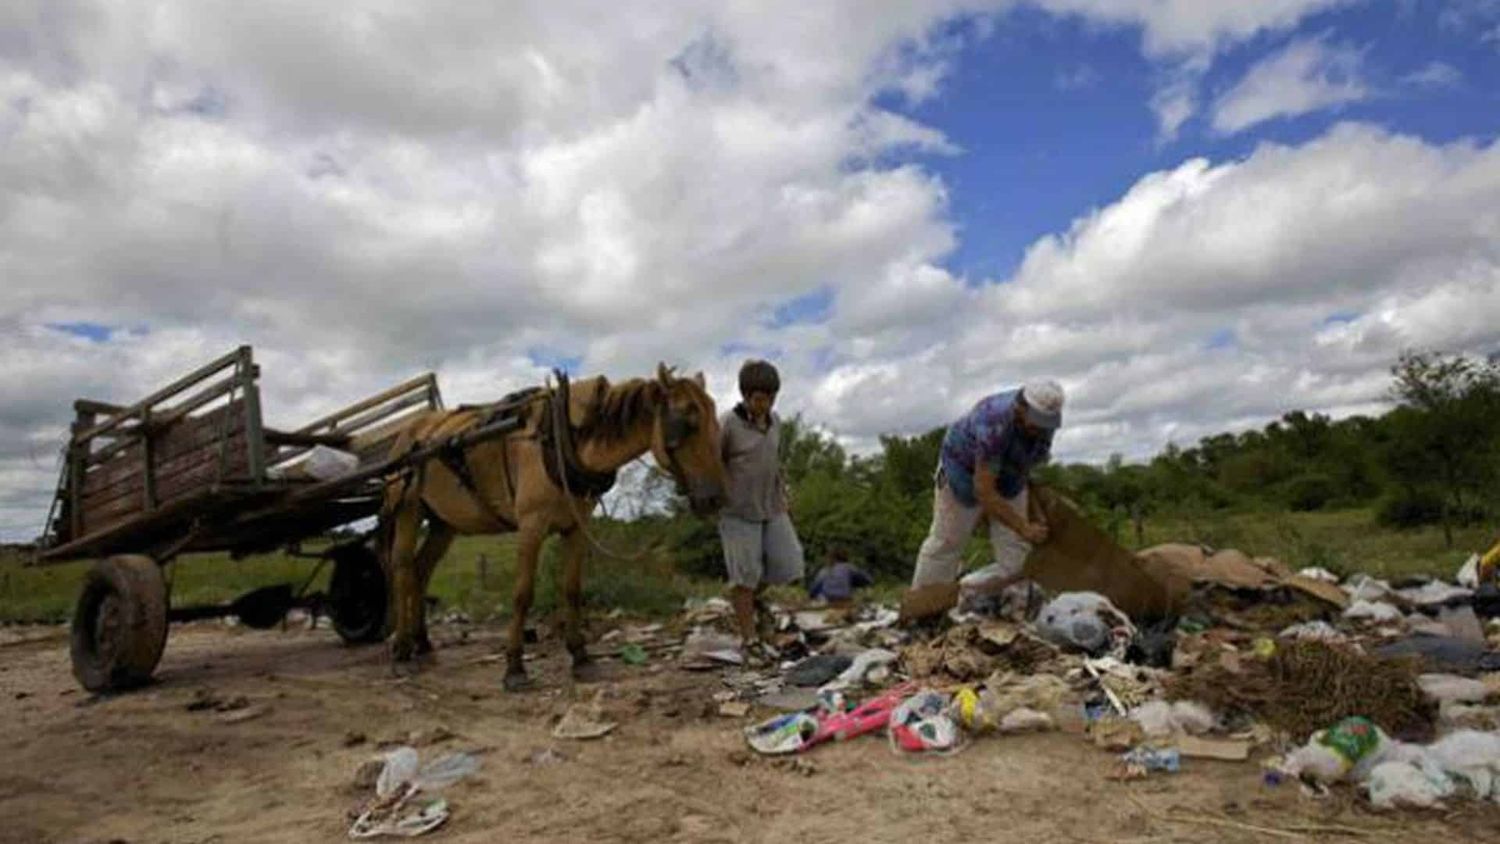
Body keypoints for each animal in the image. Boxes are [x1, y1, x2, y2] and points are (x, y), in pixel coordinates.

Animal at [378, 361, 723, 686]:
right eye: (687, 422)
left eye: (715, 422)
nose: (714, 498)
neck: (563, 435)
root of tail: (409, 433)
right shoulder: (531, 527)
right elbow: (522, 594)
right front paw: (514, 666)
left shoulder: (576, 527)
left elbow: (571, 589)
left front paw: (581, 657)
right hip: (408, 509)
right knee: (402, 568)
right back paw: (402, 648)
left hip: (443, 523)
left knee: (421, 570)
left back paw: (422, 642)